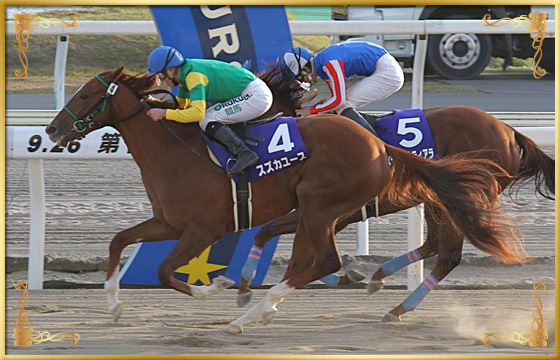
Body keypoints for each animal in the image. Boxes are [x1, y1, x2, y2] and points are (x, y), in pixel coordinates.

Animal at [48, 67, 516, 332]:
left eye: (86, 95)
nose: (53, 129)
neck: (176, 149)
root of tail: (378, 146)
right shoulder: (168, 222)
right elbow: (118, 241)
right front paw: (112, 307)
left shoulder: (202, 228)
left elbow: (165, 271)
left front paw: (217, 287)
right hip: (325, 209)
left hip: (323, 205)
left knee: (332, 260)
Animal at [234, 64, 552, 326]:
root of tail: (509, 130)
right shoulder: (319, 213)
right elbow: (282, 243)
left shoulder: (328, 213)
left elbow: (298, 252)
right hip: (437, 199)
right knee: (433, 244)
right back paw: (380, 278)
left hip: (459, 200)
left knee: (448, 255)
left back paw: (398, 308)